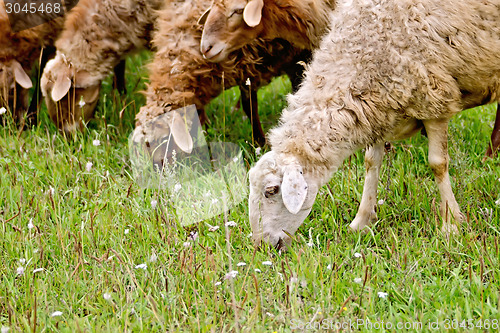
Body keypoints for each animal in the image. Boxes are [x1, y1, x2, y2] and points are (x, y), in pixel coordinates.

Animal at [249, 0, 500, 248]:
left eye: (271, 191)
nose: (262, 246)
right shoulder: (376, 109)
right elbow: (371, 163)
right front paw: (361, 221)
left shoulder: (434, 100)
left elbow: (437, 164)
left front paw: (451, 225)